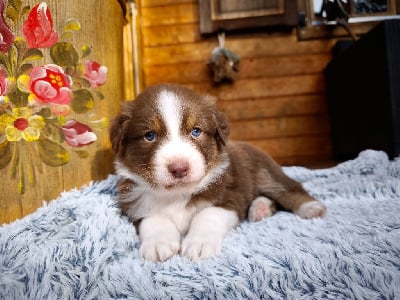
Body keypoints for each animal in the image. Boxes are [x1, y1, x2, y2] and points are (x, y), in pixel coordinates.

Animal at [108, 83, 324, 262]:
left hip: (266, 174)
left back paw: (312, 208)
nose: (179, 168)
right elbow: (153, 218)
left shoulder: (230, 197)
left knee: (289, 189)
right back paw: (260, 209)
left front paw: (198, 243)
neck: (176, 194)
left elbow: (207, 215)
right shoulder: (133, 206)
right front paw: (158, 243)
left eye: (196, 131)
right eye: (150, 136)